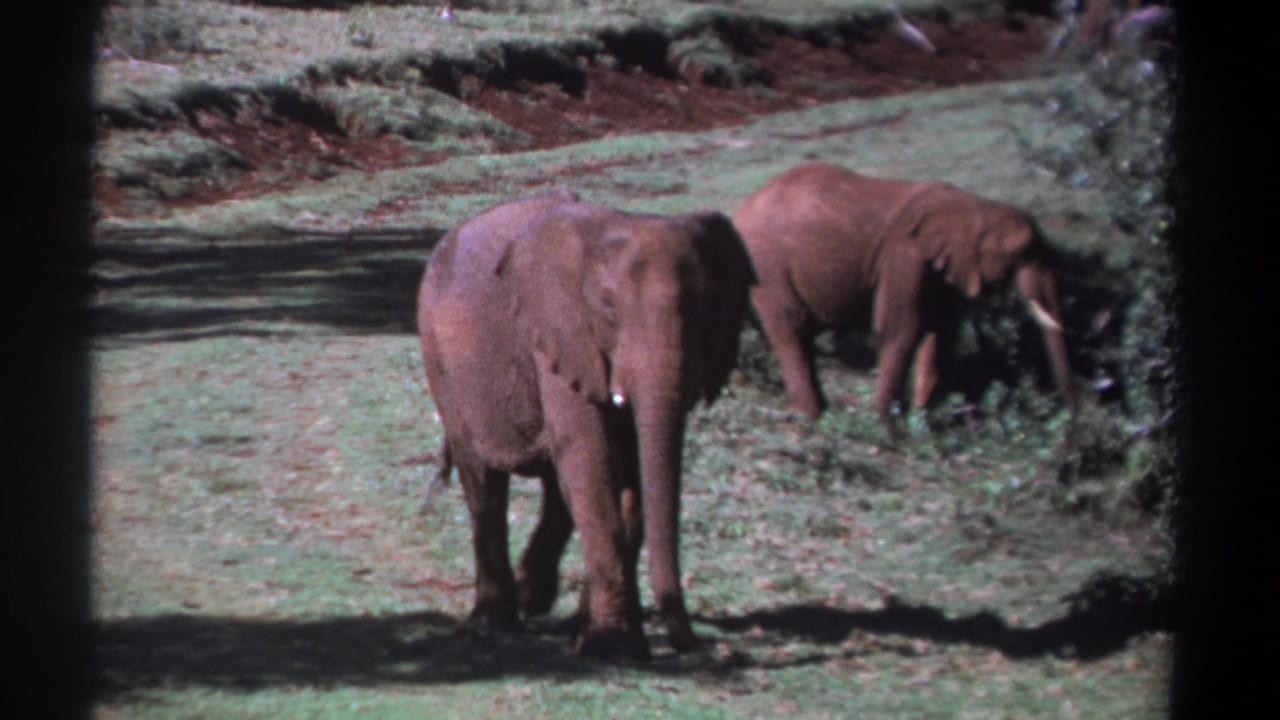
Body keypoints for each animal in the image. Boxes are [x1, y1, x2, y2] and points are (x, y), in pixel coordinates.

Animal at [416, 189, 754, 660]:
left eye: (705, 307)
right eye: (609, 308)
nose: (692, 645)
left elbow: (626, 471)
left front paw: (603, 635)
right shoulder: (559, 335)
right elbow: (591, 456)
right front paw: (613, 647)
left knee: (555, 485)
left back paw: (537, 603)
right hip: (441, 360)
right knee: (484, 482)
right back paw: (493, 626)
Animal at [732, 161, 1074, 421]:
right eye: (1022, 251)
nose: (1070, 413)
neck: (972, 207)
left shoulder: (944, 268)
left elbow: (941, 333)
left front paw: (924, 418)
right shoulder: (905, 256)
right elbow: (903, 327)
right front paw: (886, 423)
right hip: (768, 265)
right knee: (792, 329)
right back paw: (810, 416)